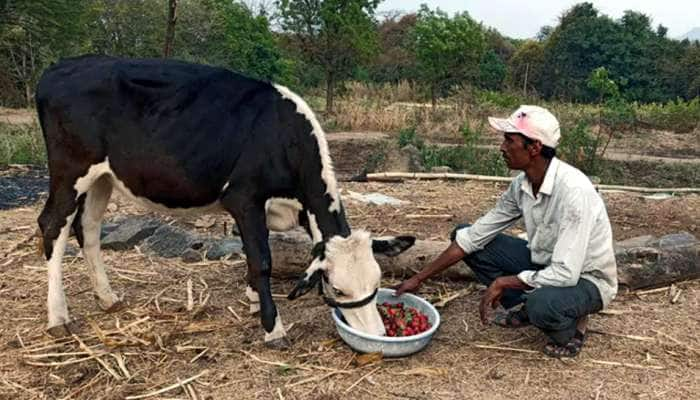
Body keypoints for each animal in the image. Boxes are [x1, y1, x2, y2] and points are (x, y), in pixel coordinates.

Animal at [35, 55, 412, 346]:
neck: (282, 136)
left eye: (377, 282)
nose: (378, 333)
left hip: (103, 177)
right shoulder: (244, 198)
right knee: (53, 225)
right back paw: (58, 317)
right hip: (70, 170)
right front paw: (272, 327)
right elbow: (261, 260)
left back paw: (107, 298)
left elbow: (250, 253)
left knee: (88, 228)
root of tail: (61, 66)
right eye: (337, 289)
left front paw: (253, 299)